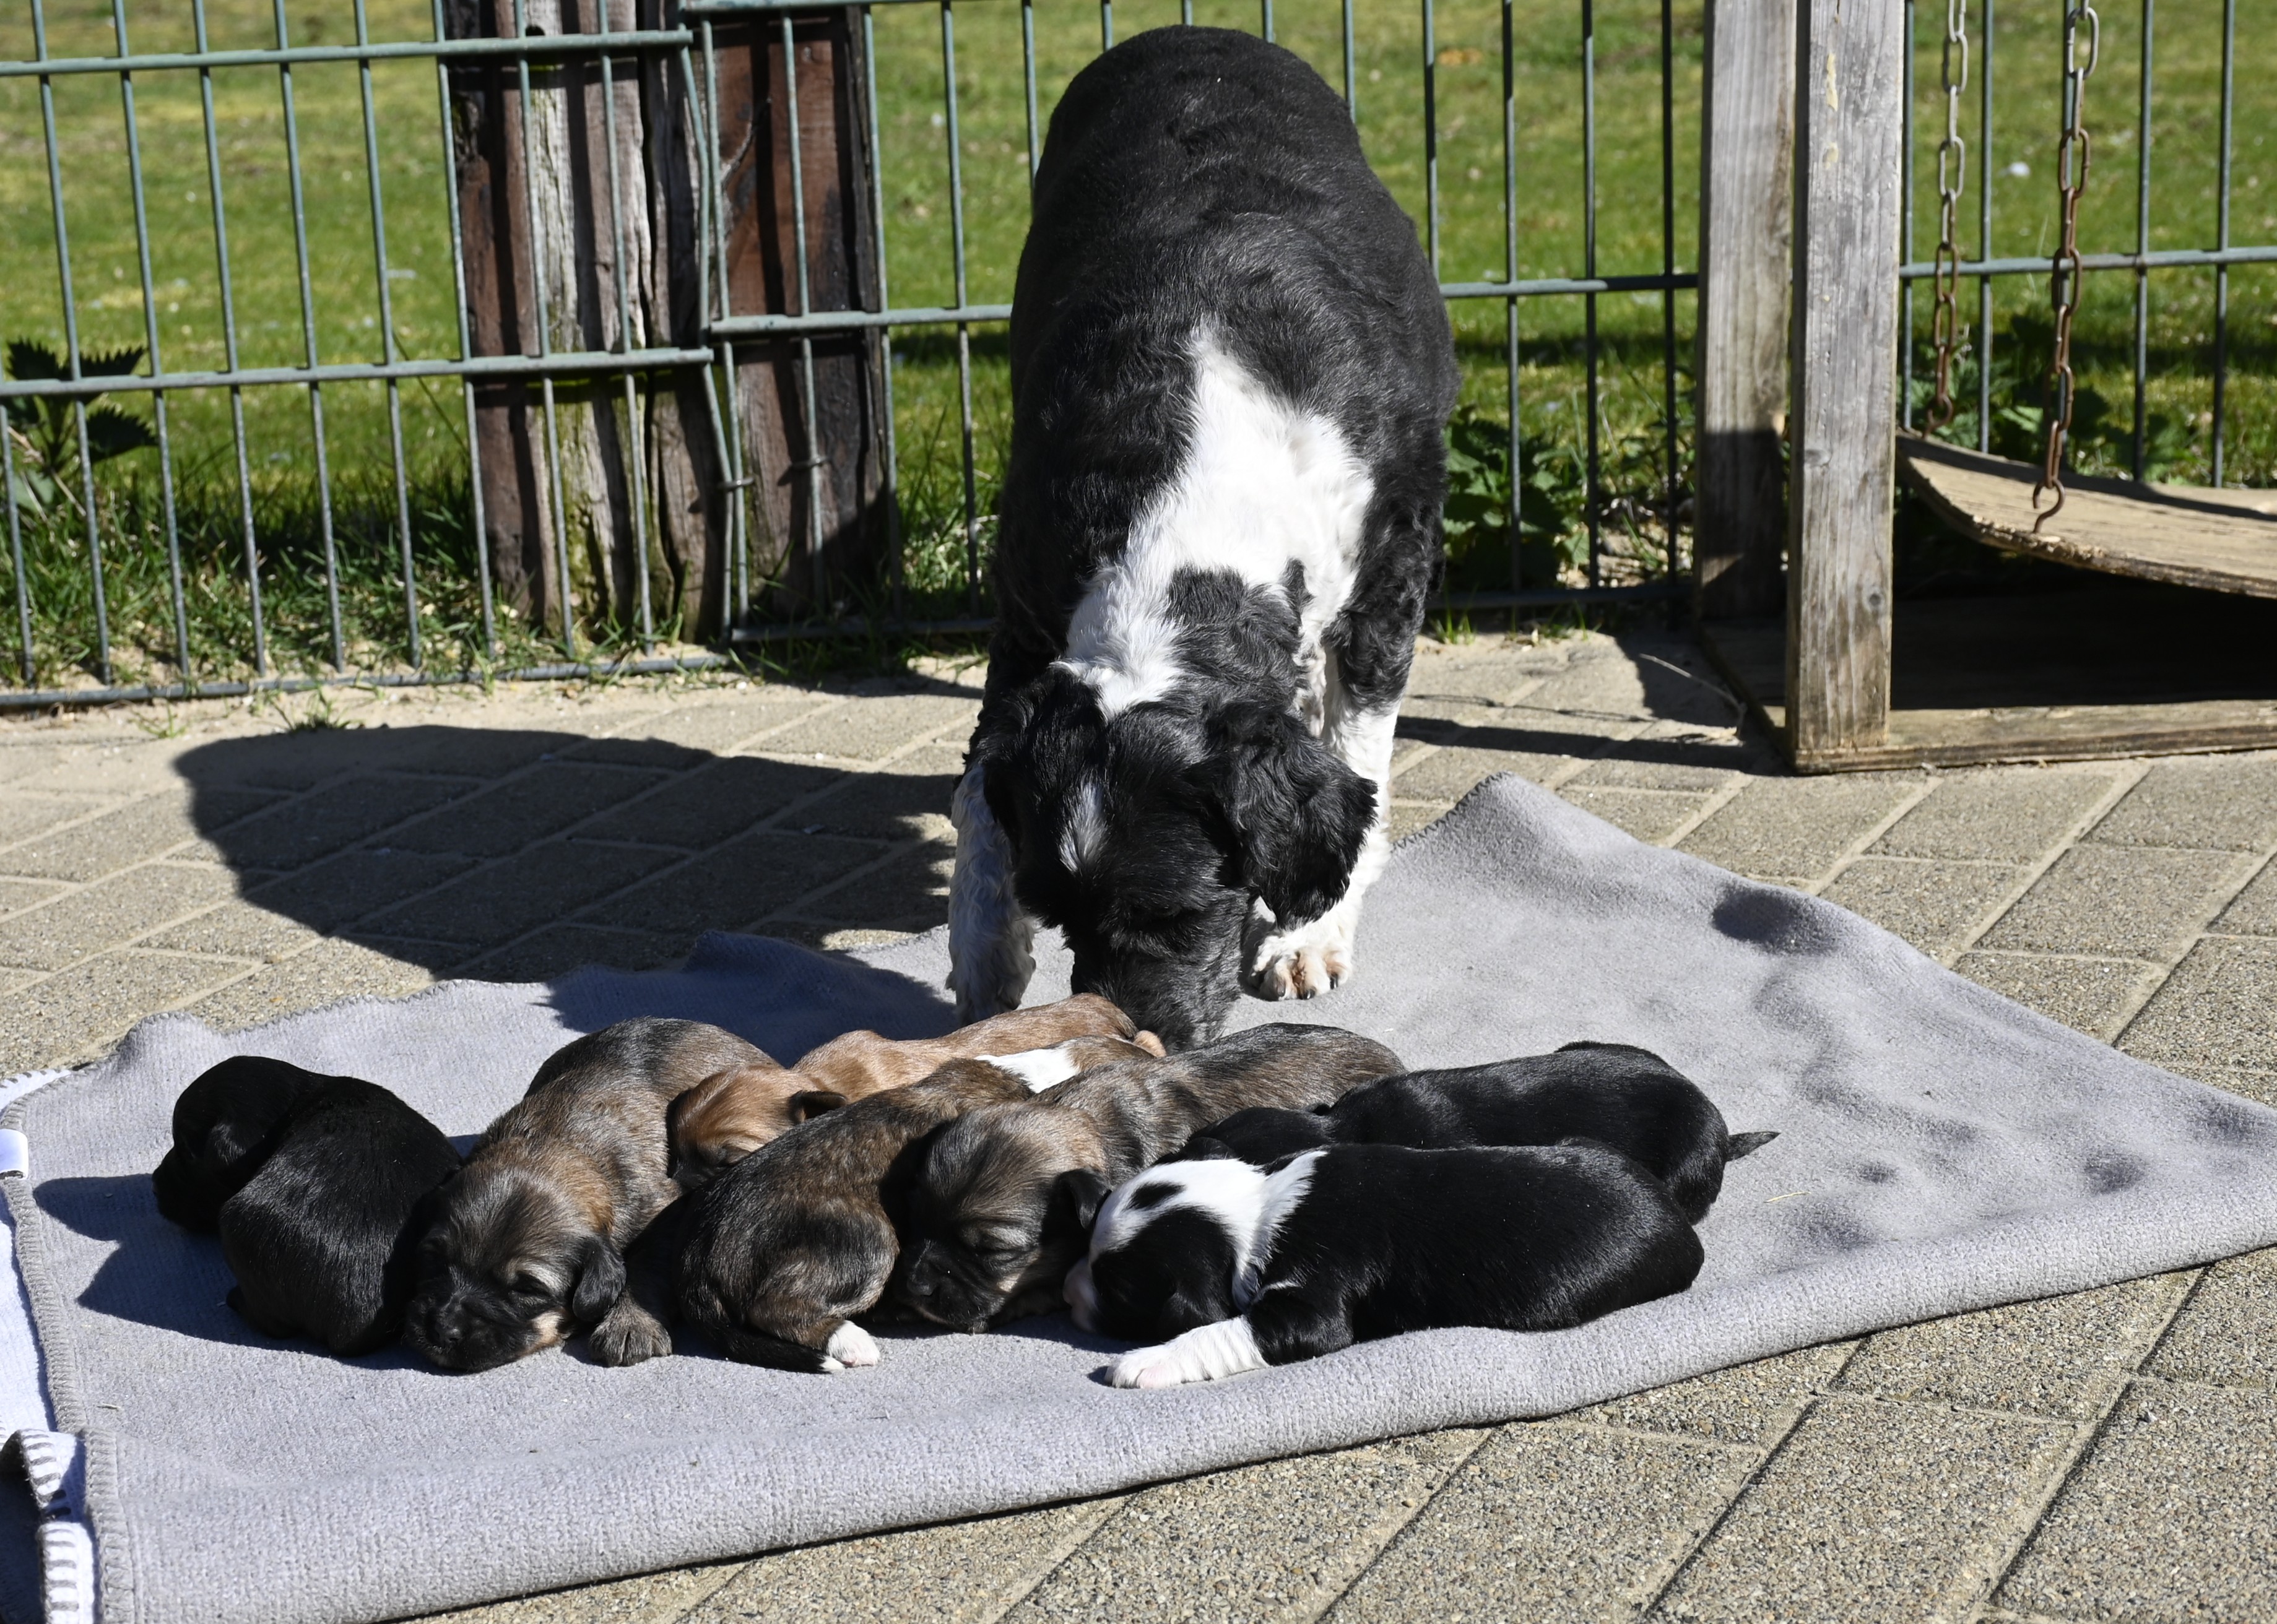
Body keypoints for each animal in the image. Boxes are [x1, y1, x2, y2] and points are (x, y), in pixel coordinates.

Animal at [153, 1057, 462, 1355]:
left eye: (186, 1152)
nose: (154, 1183)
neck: (289, 1108)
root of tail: (352, 1331)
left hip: (236, 1228)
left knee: (273, 1323)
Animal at [402, 1018, 764, 1372]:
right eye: (432, 1257)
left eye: (527, 1289)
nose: (442, 1330)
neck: (554, 1142)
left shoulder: (665, 1210)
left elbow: (646, 1265)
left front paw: (629, 1324)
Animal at [946, 27, 1459, 1048]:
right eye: (1057, 912)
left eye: (1181, 912)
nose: (1138, 1034)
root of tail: (1190, 31)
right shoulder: (1023, 603)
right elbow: (982, 785)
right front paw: (984, 958)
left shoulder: (1392, 579)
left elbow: (1357, 748)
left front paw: (1307, 934)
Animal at [1068, 1141, 1703, 1388]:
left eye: (1118, 1291)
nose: (1069, 1291)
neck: (1258, 1206)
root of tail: (1684, 1231)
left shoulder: (1309, 1307)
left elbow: (1216, 1332)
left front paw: (1144, 1362)